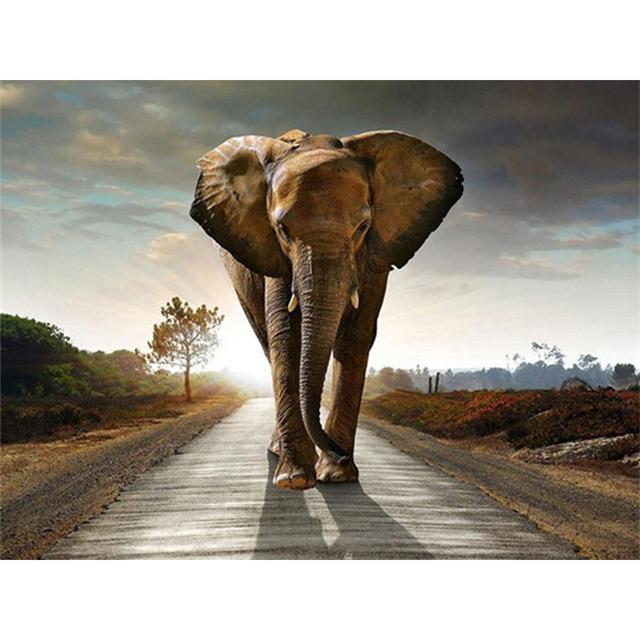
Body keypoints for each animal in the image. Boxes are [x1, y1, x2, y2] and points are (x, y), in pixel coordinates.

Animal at [189, 129, 463, 490]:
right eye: (282, 229)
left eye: (363, 227)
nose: (338, 453)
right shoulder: (274, 256)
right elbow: (286, 336)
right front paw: (294, 479)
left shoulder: (375, 256)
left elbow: (356, 337)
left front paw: (337, 475)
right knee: (267, 342)